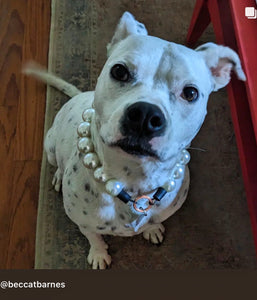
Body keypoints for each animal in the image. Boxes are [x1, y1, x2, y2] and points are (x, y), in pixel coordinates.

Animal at [25, 11, 245, 270]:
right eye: (119, 71)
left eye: (190, 93)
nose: (145, 116)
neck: (133, 179)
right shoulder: (84, 223)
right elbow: (94, 237)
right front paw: (99, 254)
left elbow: (152, 223)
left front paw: (152, 229)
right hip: (49, 144)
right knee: (56, 161)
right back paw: (58, 175)